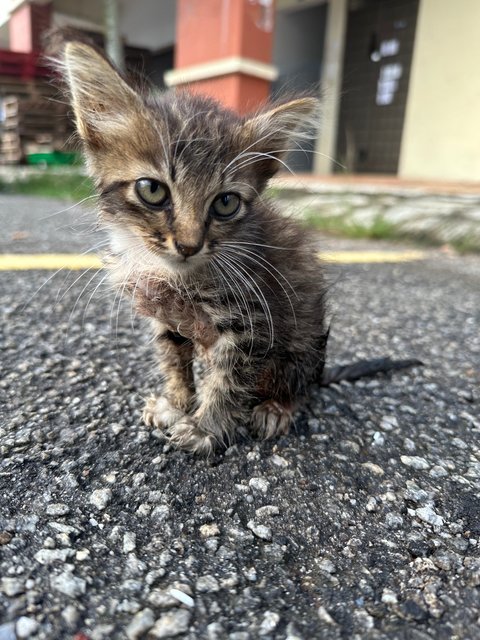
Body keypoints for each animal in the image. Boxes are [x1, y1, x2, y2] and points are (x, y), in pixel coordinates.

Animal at [58, 40, 420, 452]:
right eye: (152, 190)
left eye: (226, 203)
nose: (189, 245)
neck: (178, 273)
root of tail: (320, 370)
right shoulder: (167, 320)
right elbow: (174, 361)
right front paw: (177, 403)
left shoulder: (253, 322)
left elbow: (229, 382)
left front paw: (206, 428)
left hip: (303, 347)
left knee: (299, 387)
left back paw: (277, 407)